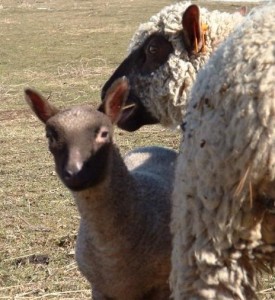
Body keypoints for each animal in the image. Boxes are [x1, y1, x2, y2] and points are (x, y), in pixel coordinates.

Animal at [24, 78, 178, 300]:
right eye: (50, 136)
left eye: (104, 134)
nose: (75, 172)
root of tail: (155, 146)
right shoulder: (98, 289)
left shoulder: (162, 286)